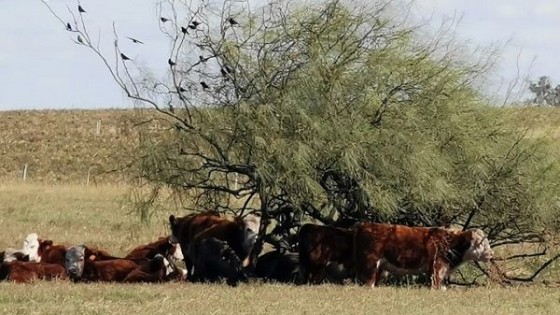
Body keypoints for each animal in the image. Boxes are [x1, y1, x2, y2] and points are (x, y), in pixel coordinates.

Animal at [354, 223, 494, 290]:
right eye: (480, 243)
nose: (491, 254)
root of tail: (365, 225)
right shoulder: (437, 267)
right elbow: (436, 285)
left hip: (379, 267)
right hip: (371, 264)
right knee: (369, 283)